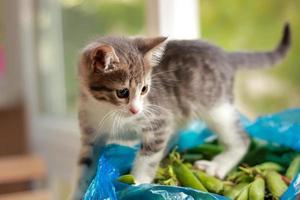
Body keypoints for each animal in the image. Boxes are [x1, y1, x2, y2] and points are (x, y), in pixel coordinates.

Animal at [70, 24, 290, 199]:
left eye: (144, 89)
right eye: (122, 92)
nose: (135, 109)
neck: (108, 110)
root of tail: (224, 54)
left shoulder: (159, 120)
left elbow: (147, 158)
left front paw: (139, 183)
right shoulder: (90, 135)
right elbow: (84, 166)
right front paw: (81, 191)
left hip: (216, 107)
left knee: (241, 137)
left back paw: (218, 165)